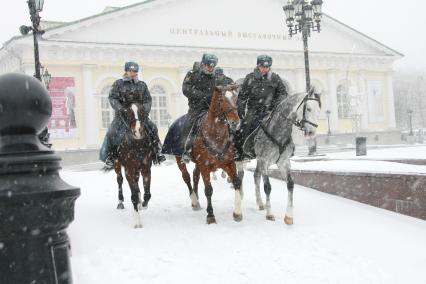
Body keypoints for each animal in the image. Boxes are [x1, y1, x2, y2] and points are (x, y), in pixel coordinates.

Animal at [176, 84, 243, 224]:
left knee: (195, 175)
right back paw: (194, 200)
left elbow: (236, 183)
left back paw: (196, 198)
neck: (216, 135)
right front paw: (210, 215)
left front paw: (237, 213)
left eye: (236, 98)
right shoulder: (205, 166)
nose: (235, 122)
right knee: (187, 177)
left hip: (198, 163)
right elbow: (208, 190)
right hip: (180, 160)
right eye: (221, 99)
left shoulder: (229, 163)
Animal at [238, 89, 322, 224]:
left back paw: (260, 203)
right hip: (241, 158)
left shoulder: (283, 162)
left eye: (319, 110)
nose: (311, 133)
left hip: (259, 161)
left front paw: (289, 216)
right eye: (309, 108)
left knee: (256, 176)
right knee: (240, 176)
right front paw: (269, 214)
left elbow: (290, 184)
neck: (278, 132)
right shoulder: (265, 161)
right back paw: (239, 196)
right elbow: (267, 187)